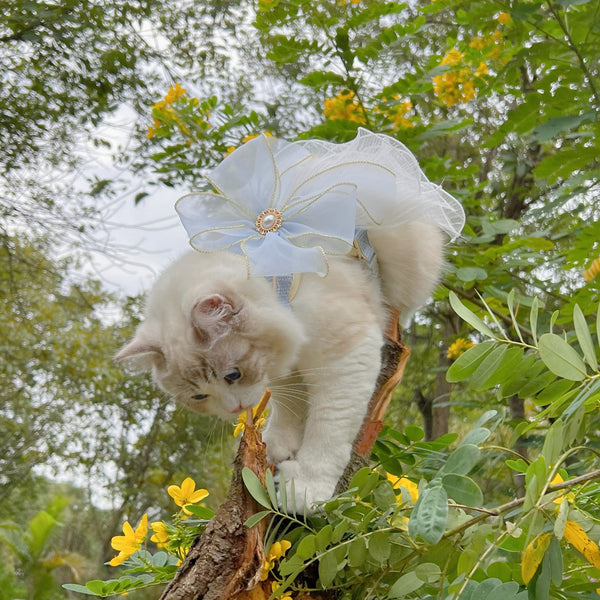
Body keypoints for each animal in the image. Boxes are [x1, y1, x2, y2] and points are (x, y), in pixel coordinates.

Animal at [118, 223, 446, 512]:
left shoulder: (347, 358)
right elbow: (290, 407)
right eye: (200, 397)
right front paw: (278, 443)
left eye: (232, 375)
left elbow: (327, 430)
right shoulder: (286, 366)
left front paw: (305, 491)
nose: (234, 409)